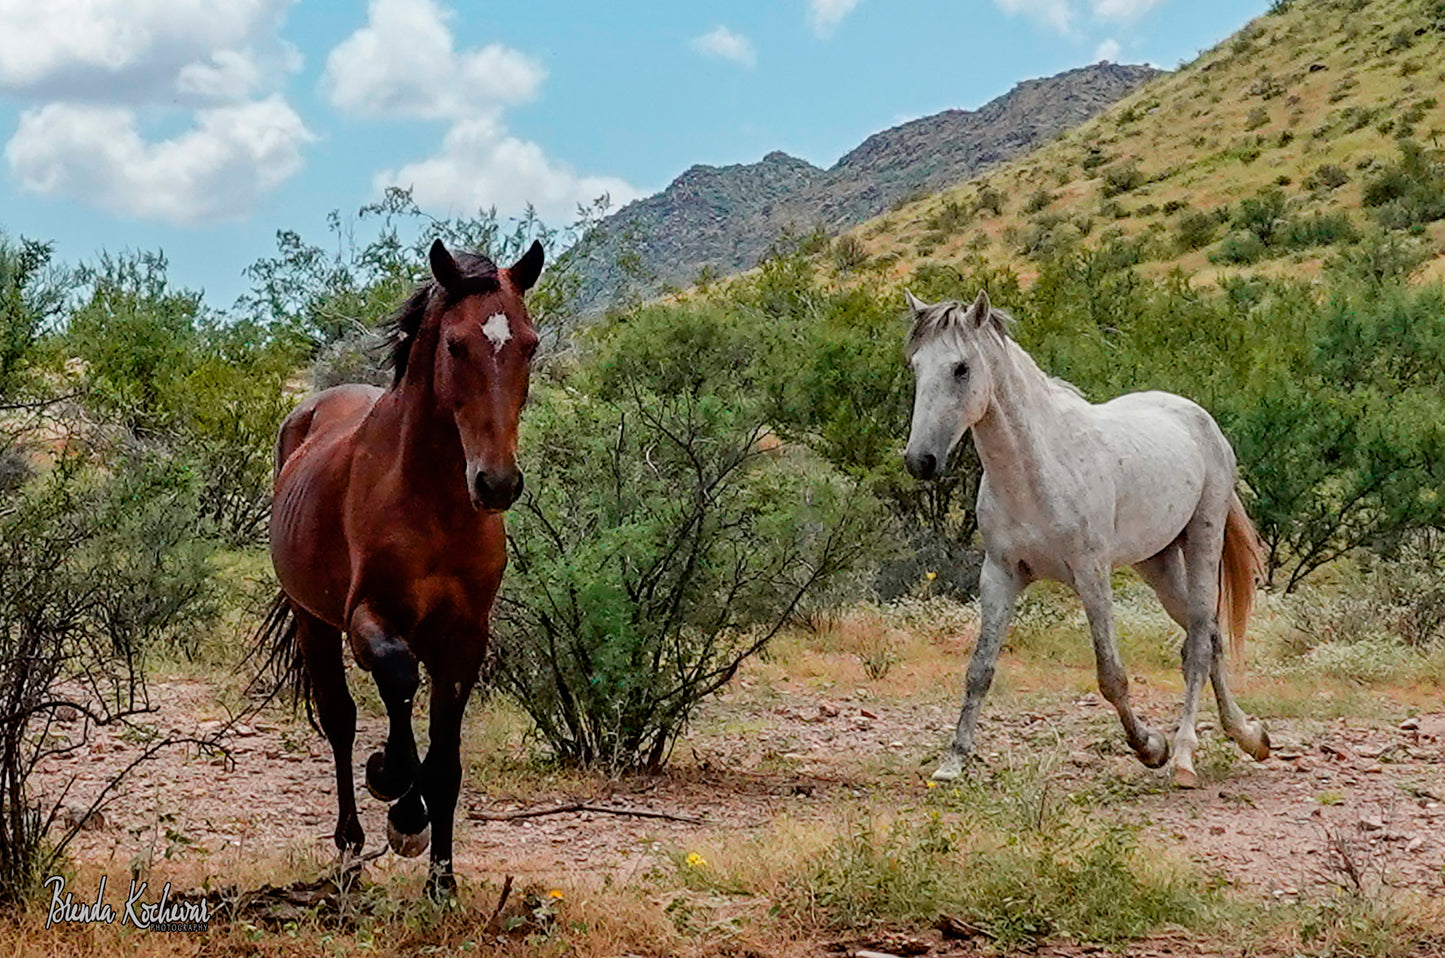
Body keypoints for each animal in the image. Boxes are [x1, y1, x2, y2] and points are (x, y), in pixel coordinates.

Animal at [254, 238, 543, 895]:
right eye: (455, 345)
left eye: (530, 343)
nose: (497, 483)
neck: (433, 505)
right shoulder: (371, 617)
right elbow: (398, 679)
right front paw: (397, 796)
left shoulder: (465, 638)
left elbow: (446, 759)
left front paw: (442, 880)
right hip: (314, 620)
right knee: (339, 719)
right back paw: (350, 844)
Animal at [902, 290, 1269, 788]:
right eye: (916, 365)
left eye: (961, 368)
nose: (920, 461)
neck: (1036, 471)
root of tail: (1200, 418)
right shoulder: (999, 574)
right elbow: (979, 669)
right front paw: (953, 761)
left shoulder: (1092, 576)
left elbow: (1111, 675)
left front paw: (1150, 747)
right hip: (1156, 563)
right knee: (1209, 637)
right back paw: (1248, 735)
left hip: (1202, 543)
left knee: (1197, 642)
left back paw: (1185, 756)